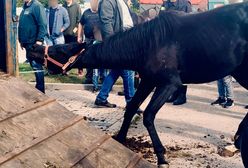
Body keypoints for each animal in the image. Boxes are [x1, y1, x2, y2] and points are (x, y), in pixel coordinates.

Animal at [28, 2, 248, 167]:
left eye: (60, 50)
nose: (31, 49)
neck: (149, 43)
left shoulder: (169, 84)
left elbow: (148, 115)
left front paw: (161, 156)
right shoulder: (149, 81)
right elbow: (132, 107)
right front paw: (120, 139)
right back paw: (237, 138)